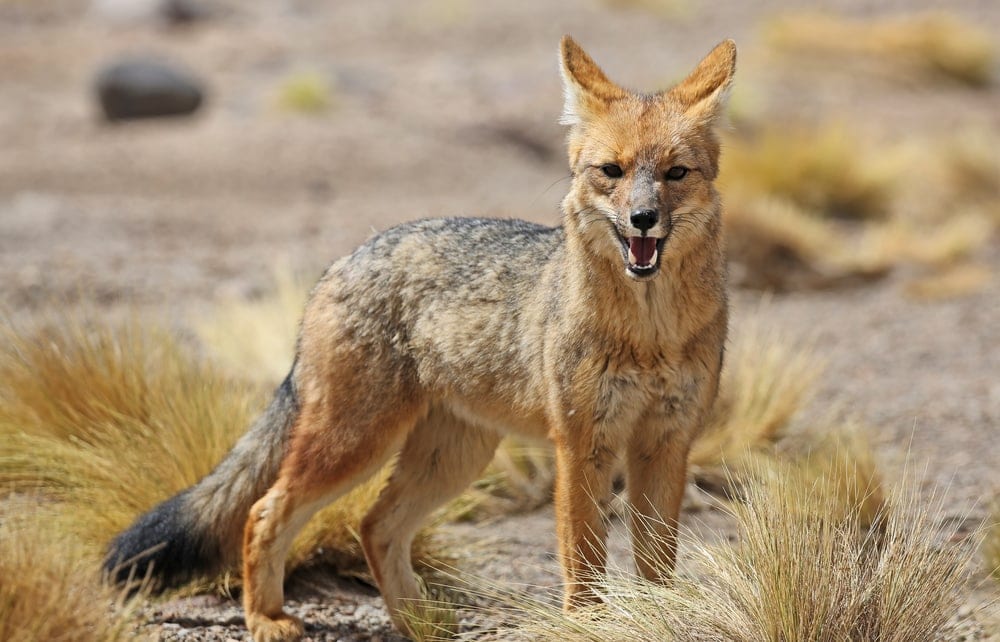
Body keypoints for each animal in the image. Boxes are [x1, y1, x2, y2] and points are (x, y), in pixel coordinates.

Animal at [105, 36, 735, 641]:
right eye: (612, 170)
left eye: (675, 173)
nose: (643, 219)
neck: (650, 334)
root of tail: (343, 261)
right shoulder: (583, 443)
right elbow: (582, 560)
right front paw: (588, 626)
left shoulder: (666, 442)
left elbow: (657, 560)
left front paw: (661, 616)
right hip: (356, 442)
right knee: (266, 510)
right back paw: (267, 618)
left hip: (451, 456)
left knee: (375, 524)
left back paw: (418, 622)